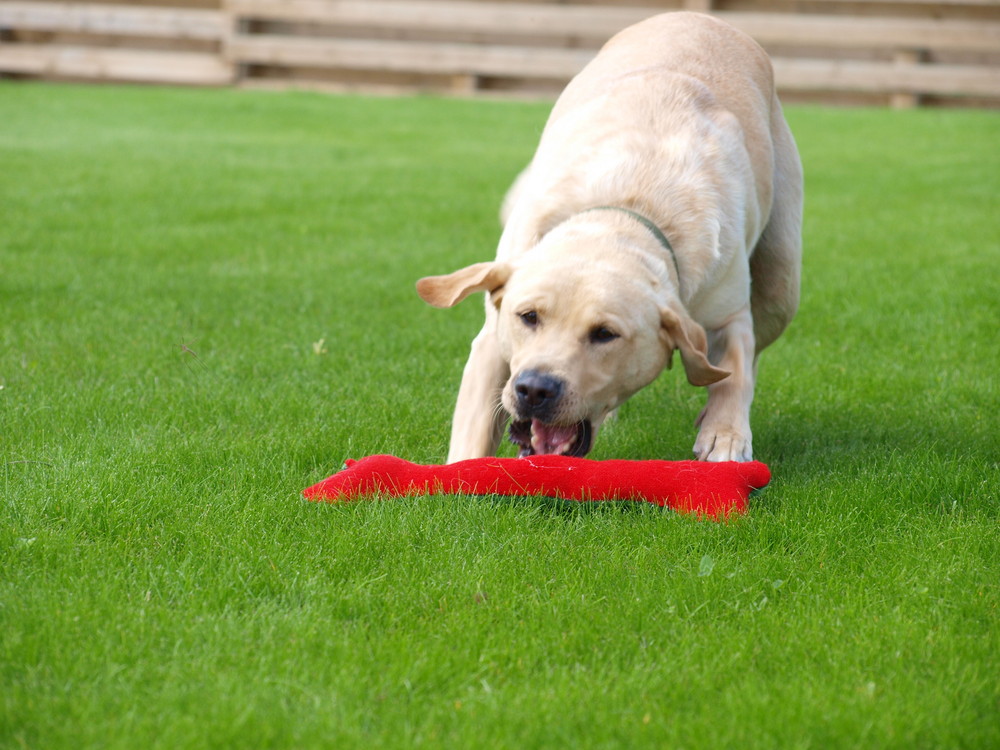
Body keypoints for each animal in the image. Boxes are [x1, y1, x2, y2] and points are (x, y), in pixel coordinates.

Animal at [418, 11, 800, 464]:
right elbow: (474, 428)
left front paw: (725, 435)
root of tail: (697, 16)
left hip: (781, 282)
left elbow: (733, 372)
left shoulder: (729, 314)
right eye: (528, 317)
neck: (626, 212)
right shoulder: (494, 341)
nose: (535, 389)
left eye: (605, 334)